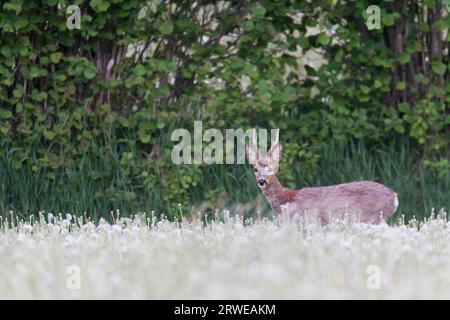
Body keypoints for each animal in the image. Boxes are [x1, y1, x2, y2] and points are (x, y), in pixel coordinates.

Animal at [248, 131, 400, 224]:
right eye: (255, 169)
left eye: (271, 168)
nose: (262, 181)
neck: (286, 199)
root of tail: (394, 196)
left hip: (374, 216)